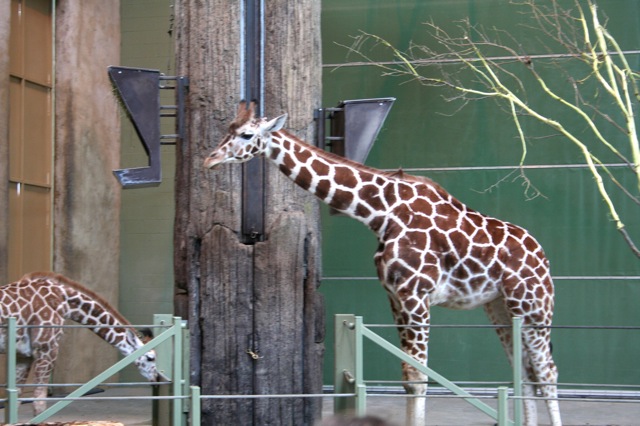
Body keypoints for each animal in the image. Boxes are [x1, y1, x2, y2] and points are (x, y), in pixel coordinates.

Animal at [0, 271, 162, 416]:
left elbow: (16, 400)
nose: (157, 380)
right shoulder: (47, 348)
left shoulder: (23, 355)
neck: (63, 301)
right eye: (150, 358)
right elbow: (39, 403)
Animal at [204, 101, 561, 426]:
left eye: (247, 134)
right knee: (525, 373)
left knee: (547, 373)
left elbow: (419, 378)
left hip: (534, 307)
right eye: (228, 130)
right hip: (501, 308)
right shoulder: (396, 298)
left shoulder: (416, 295)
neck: (381, 212)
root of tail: (544, 258)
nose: (210, 159)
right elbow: (408, 377)